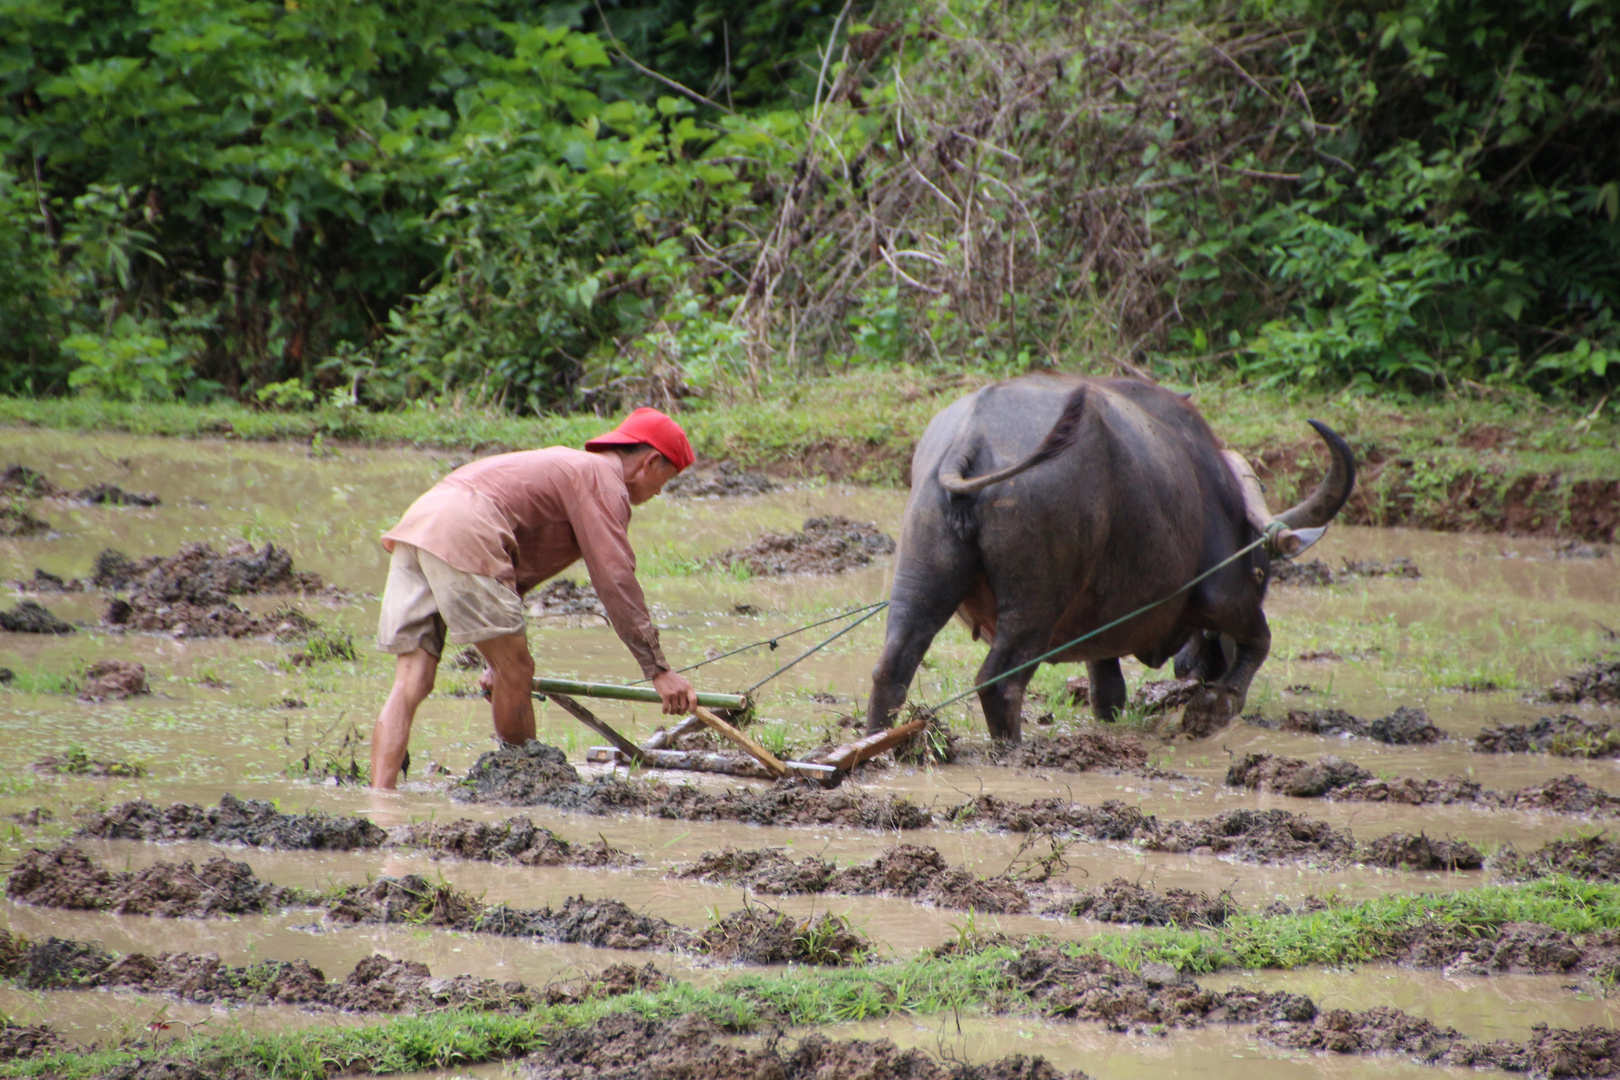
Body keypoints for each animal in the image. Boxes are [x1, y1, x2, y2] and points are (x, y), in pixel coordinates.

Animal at [868, 374, 1347, 744]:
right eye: (1261, 572)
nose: (1198, 666)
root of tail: (972, 437)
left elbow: (1107, 690)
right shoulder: (1223, 593)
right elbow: (1259, 641)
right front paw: (1215, 706)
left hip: (922, 572)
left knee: (892, 668)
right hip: (1036, 602)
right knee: (1001, 682)